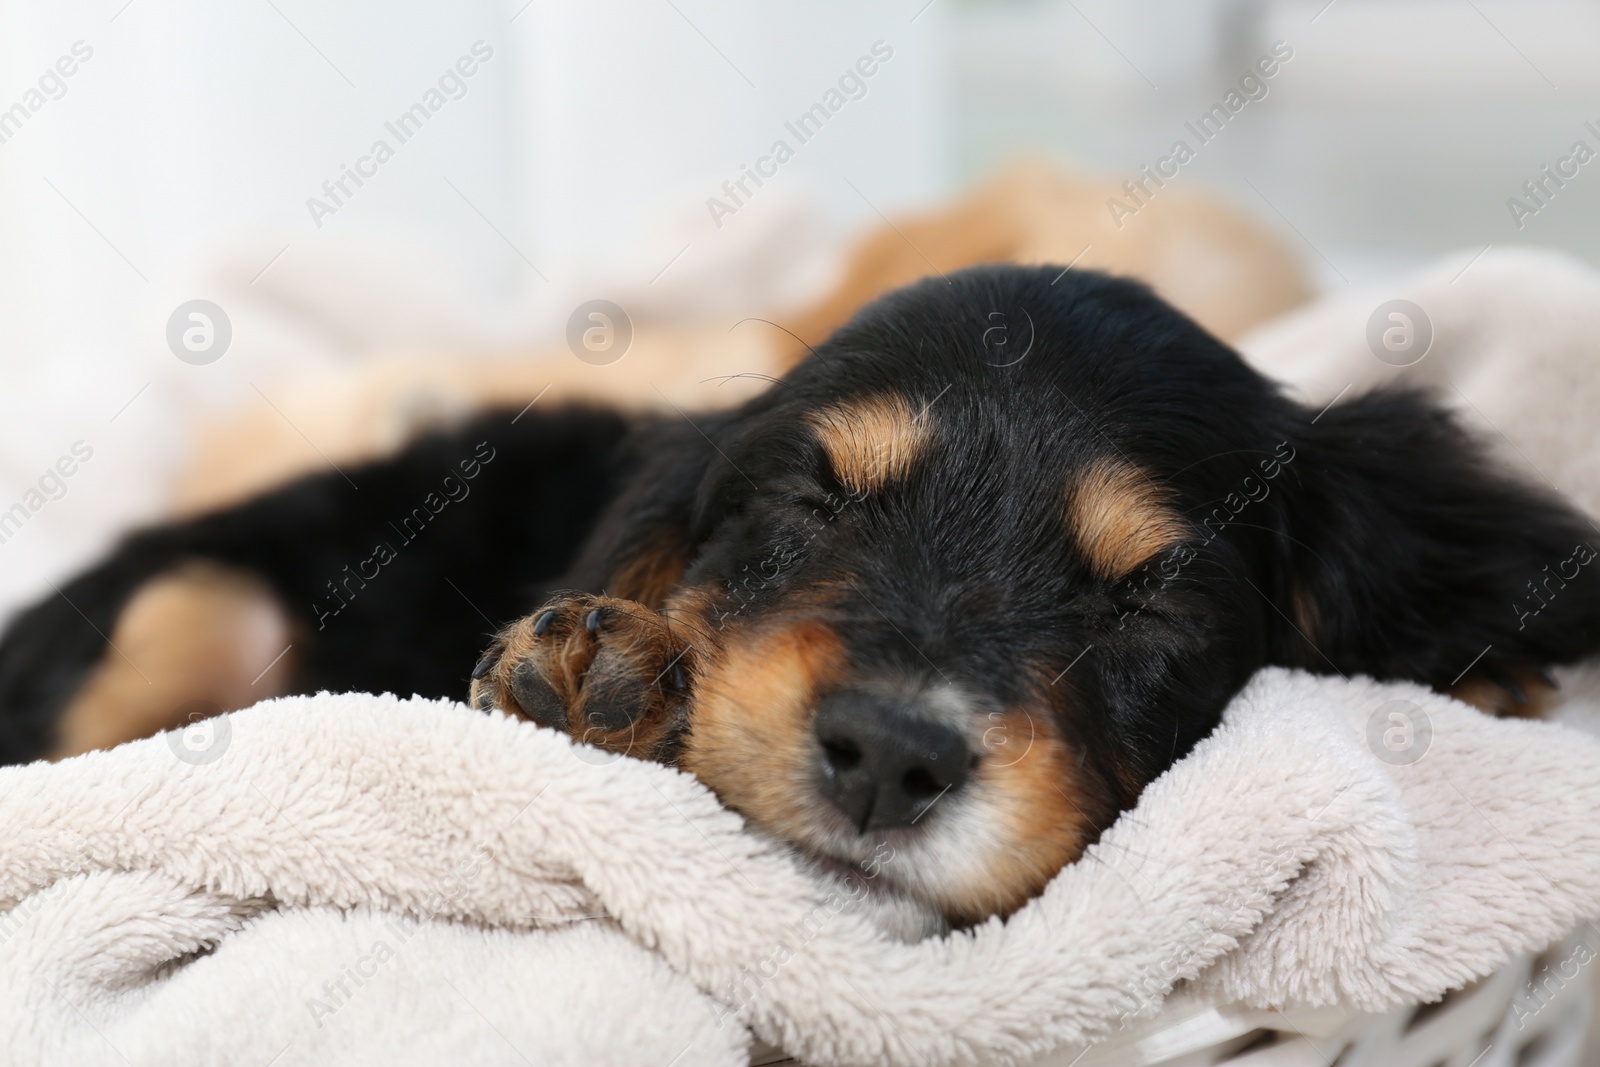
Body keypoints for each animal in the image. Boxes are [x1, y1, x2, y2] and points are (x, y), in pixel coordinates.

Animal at [3, 262, 1600, 921]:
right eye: (809, 503)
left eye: (1148, 599)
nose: (889, 759)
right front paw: (601, 671)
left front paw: (1487, 665)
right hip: (201, 601)